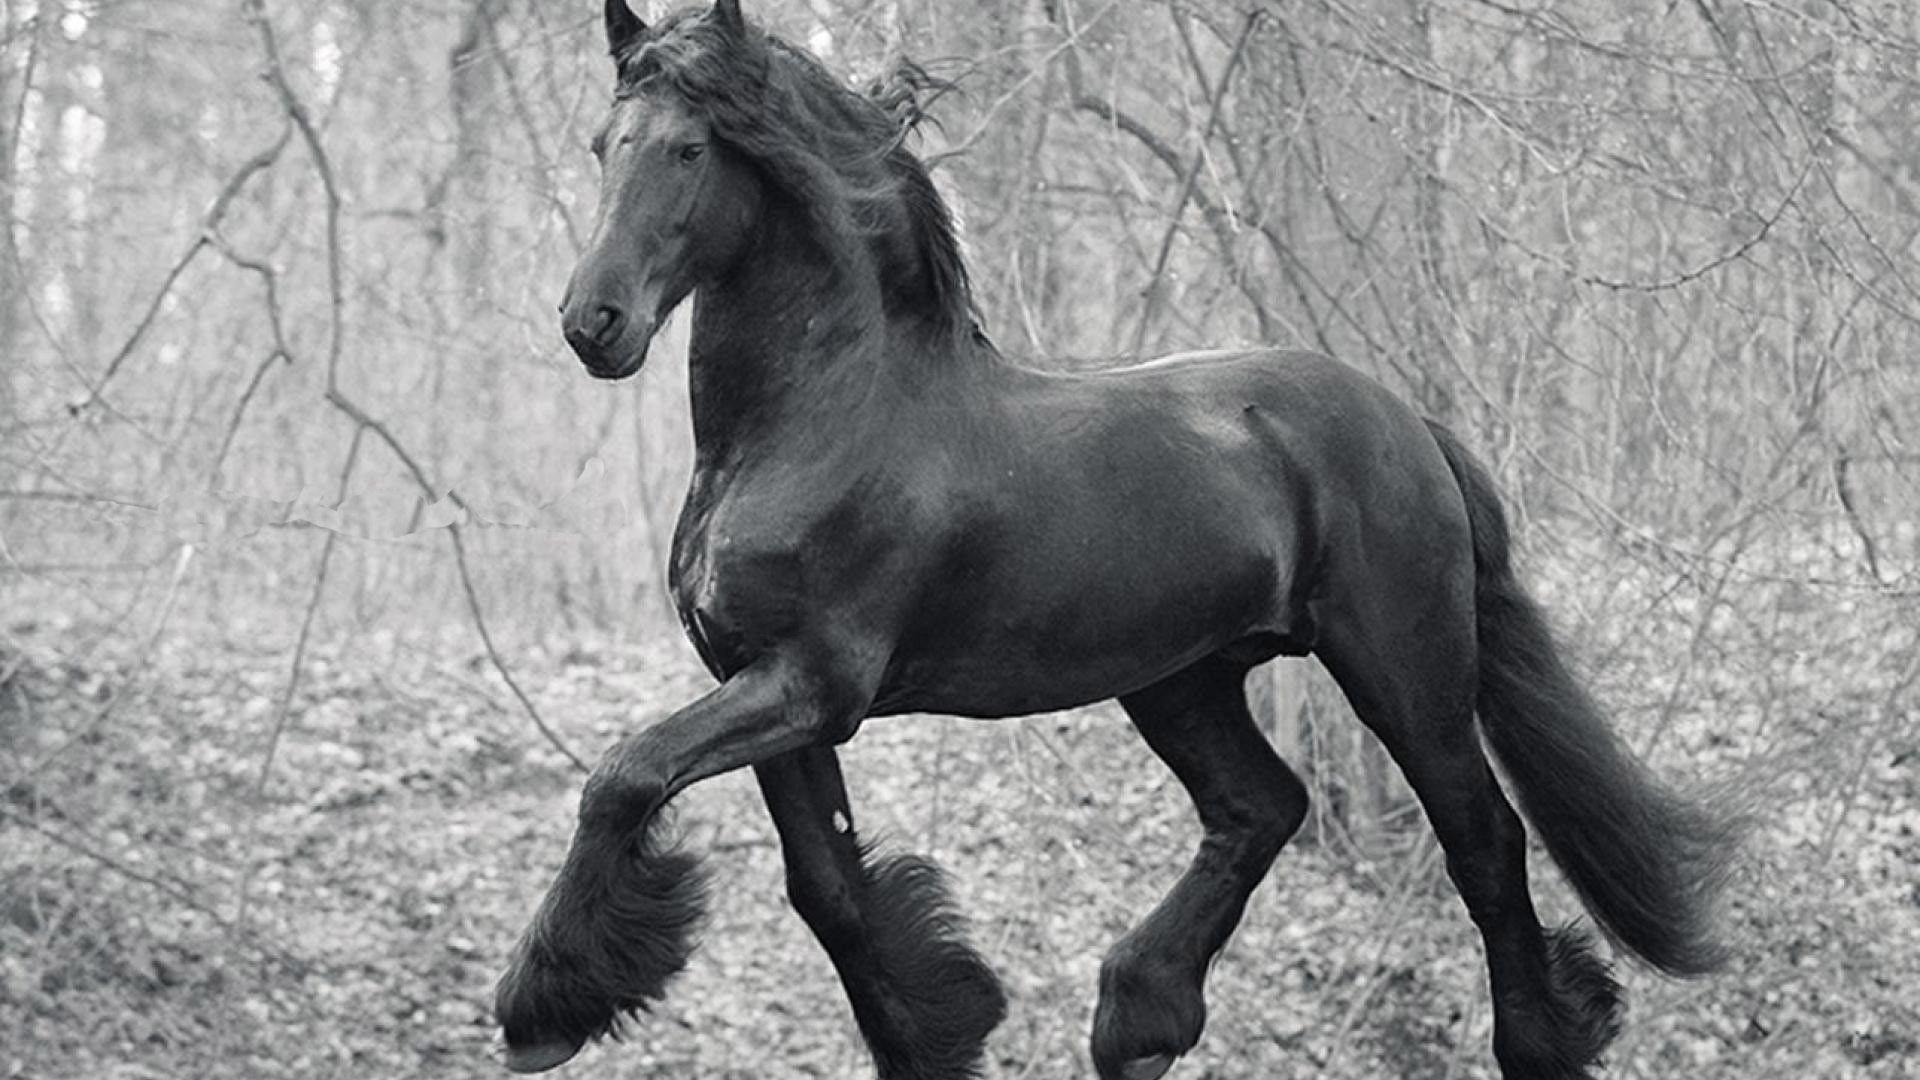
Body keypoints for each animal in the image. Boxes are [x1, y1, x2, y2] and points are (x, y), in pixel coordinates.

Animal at [493, 3, 1740, 1077]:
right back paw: (1140, 1019)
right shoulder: (761, 682)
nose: (593, 323)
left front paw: (539, 1014)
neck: (824, 421)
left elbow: (623, 777)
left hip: (1405, 668)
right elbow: (827, 889)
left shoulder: (813, 682)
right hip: (1182, 677)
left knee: (1481, 837)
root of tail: (1405, 423)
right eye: (605, 143)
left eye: (691, 149)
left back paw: (1539, 1042)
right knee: (1261, 808)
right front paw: (941, 1030)